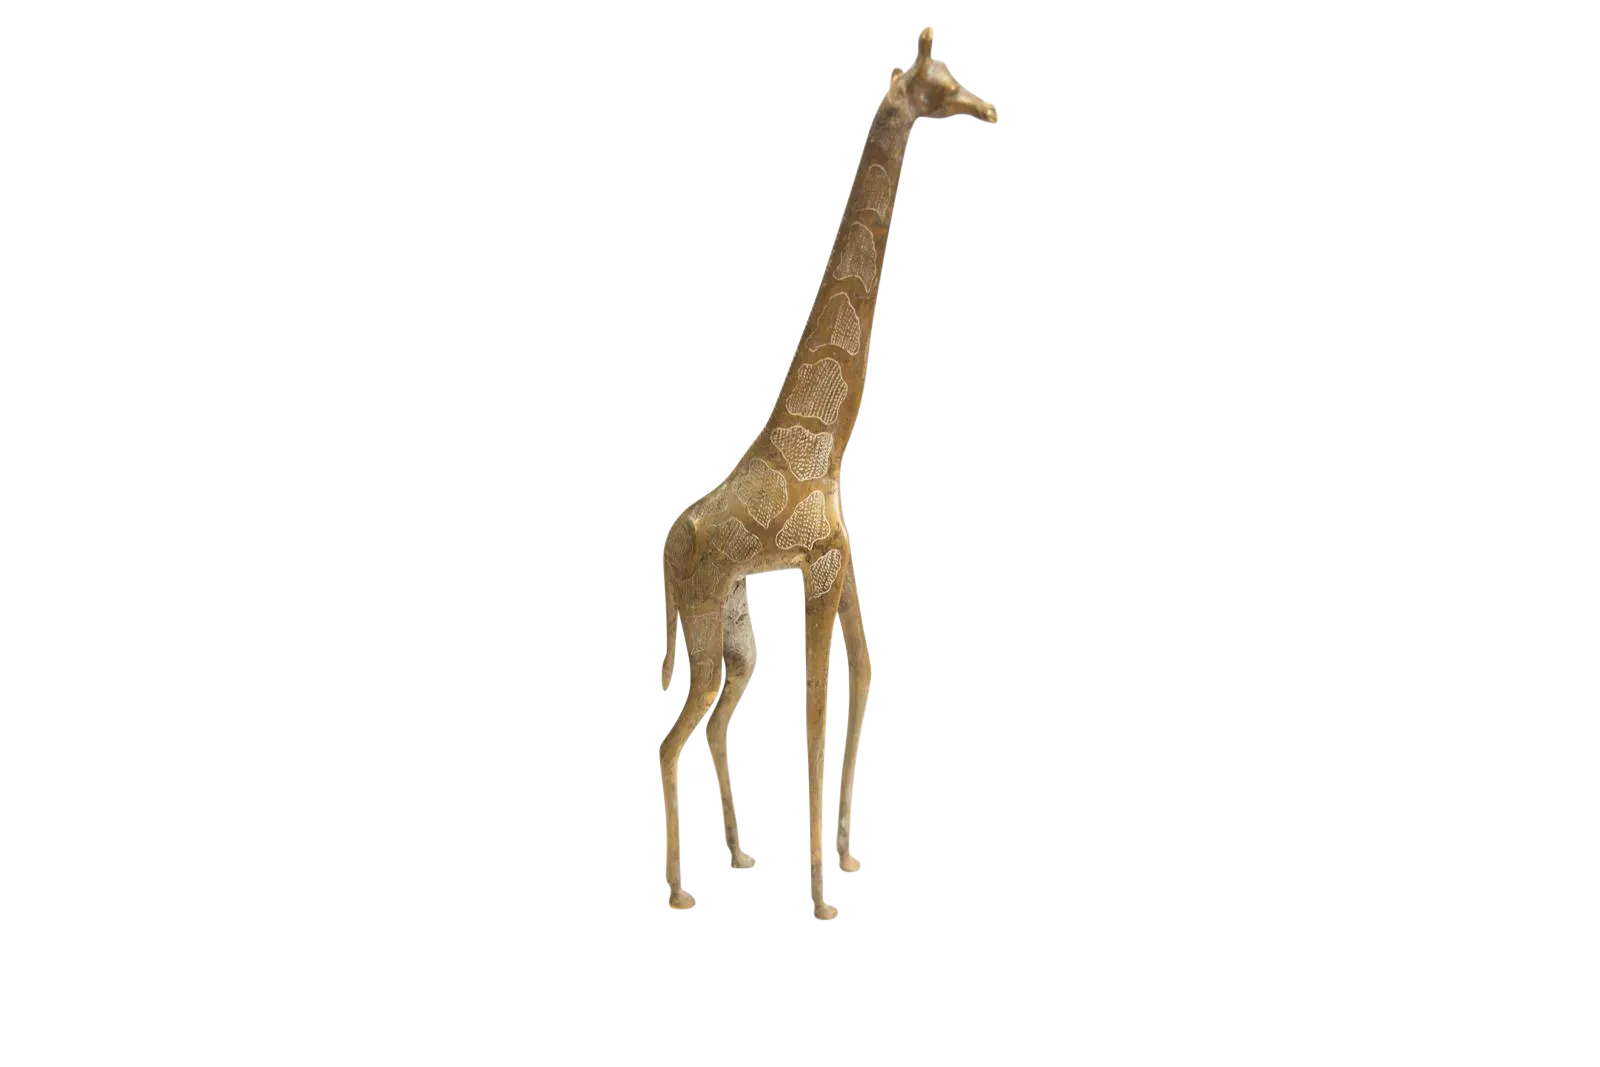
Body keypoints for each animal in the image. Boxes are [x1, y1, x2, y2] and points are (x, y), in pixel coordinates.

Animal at [657, 25, 999, 922]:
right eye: (942, 82)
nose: (987, 106)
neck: (822, 444)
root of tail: (670, 546)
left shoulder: (841, 563)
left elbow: (865, 677)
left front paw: (846, 858)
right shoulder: (816, 567)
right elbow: (815, 713)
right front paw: (821, 897)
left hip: (737, 633)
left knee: (712, 725)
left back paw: (740, 853)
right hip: (703, 628)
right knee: (675, 734)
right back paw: (681, 887)